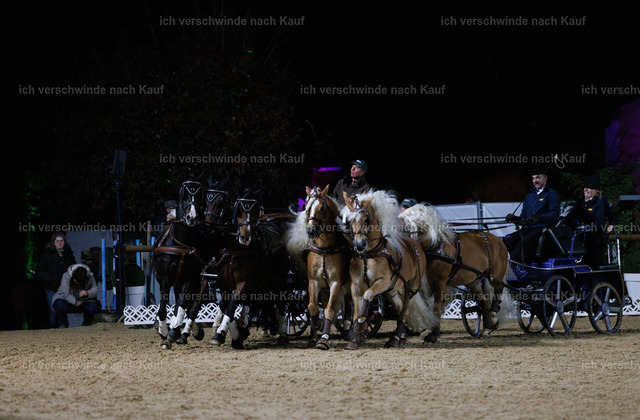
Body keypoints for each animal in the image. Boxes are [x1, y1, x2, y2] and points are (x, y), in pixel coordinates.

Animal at [152, 180, 207, 349]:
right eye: (184, 197)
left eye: (200, 198)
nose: (192, 217)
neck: (181, 243)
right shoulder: (165, 277)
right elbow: (163, 307)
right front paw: (164, 332)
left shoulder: (190, 278)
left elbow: (183, 304)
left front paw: (174, 331)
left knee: (189, 306)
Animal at [209, 189, 292, 349]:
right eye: (238, 210)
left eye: (255, 210)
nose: (245, 237)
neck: (234, 250)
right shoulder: (224, 283)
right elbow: (226, 306)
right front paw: (236, 336)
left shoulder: (244, 282)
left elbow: (232, 305)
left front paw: (220, 334)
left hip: (278, 277)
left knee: (280, 302)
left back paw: (283, 334)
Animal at [286, 185, 351, 350]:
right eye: (307, 208)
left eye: (321, 207)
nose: (311, 231)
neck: (325, 249)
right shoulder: (313, 282)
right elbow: (313, 307)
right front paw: (317, 326)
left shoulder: (336, 283)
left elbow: (329, 309)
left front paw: (324, 339)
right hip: (323, 288)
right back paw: (313, 336)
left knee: (348, 305)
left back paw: (349, 329)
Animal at [341, 190, 433, 350]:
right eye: (349, 221)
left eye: (366, 220)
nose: (359, 244)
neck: (368, 255)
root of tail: (414, 244)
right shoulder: (356, 286)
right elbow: (357, 312)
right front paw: (355, 339)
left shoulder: (382, 282)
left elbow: (368, 295)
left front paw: (363, 324)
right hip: (393, 291)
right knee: (400, 309)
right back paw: (401, 338)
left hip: (411, 287)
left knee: (404, 312)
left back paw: (394, 339)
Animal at [398, 203, 509, 341]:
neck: (435, 247)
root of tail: (498, 240)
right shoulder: (424, 285)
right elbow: (425, 307)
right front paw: (424, 330)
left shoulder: (439, 282)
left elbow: (437, 306)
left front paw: (434, 334)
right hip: (473, 281)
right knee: (483, 301)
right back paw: (486, 330)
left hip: (495, 277)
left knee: (497, 293)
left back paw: (493, 319)